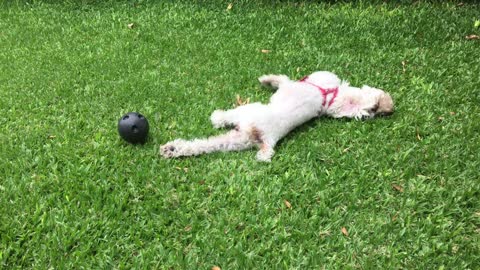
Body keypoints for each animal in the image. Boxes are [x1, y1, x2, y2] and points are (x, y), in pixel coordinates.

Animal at [161, 70, 394, 161]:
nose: (388, 108)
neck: (327, 94)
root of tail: (257, 133)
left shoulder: (291, 83)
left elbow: (280, 78)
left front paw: (266, 80)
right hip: (236, 139)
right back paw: (173, 149)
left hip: (246, 113)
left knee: (222, 122)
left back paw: (216, 118)